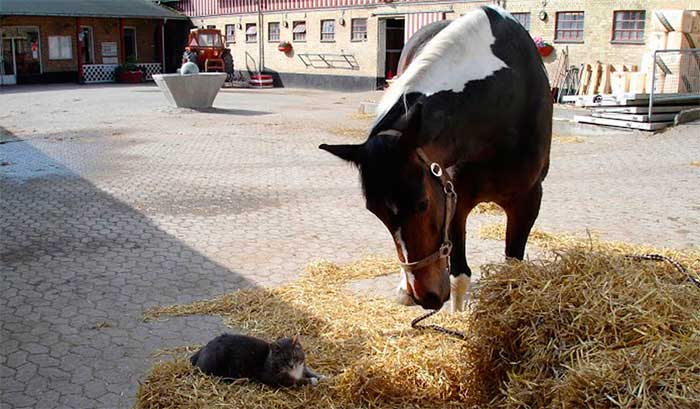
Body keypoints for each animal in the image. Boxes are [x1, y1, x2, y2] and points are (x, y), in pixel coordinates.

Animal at [189, 332, 326, 386]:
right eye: (283, 359)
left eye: (294, 356)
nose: (291, 365)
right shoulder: (277, 379)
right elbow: (297, 381)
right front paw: (312, 381)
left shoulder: (303, 367)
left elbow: (310, 371)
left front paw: (322, 376)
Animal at [318, 5, 552, 310]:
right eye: (374, 211)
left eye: (422, 204)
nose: (425, 297)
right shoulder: (456, 202)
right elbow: (459, 275)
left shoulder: (528, 201)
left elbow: (512, 269)